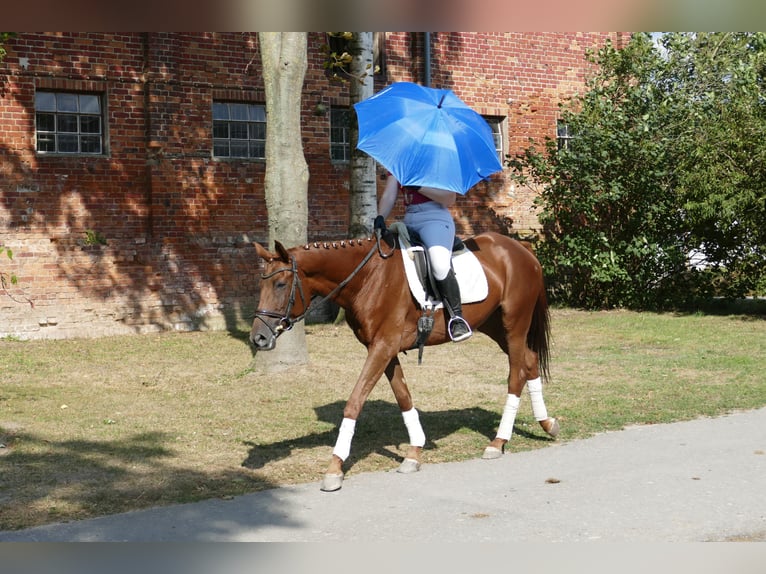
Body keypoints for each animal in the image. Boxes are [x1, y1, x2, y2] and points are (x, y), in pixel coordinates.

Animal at [252, 232, 560, 492]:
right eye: (261, 284)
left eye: (280, 284)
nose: (258, 338)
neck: (369, 277)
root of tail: (520, 247)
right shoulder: (383, 349)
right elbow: (403, 396)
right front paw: (414, 452)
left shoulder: (383, 347)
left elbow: (354, 402)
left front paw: (334, 467)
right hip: (495, 327)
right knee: (530, 362)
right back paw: (547, 423)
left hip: (514, 326)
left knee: (516, 374)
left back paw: (499, 441)